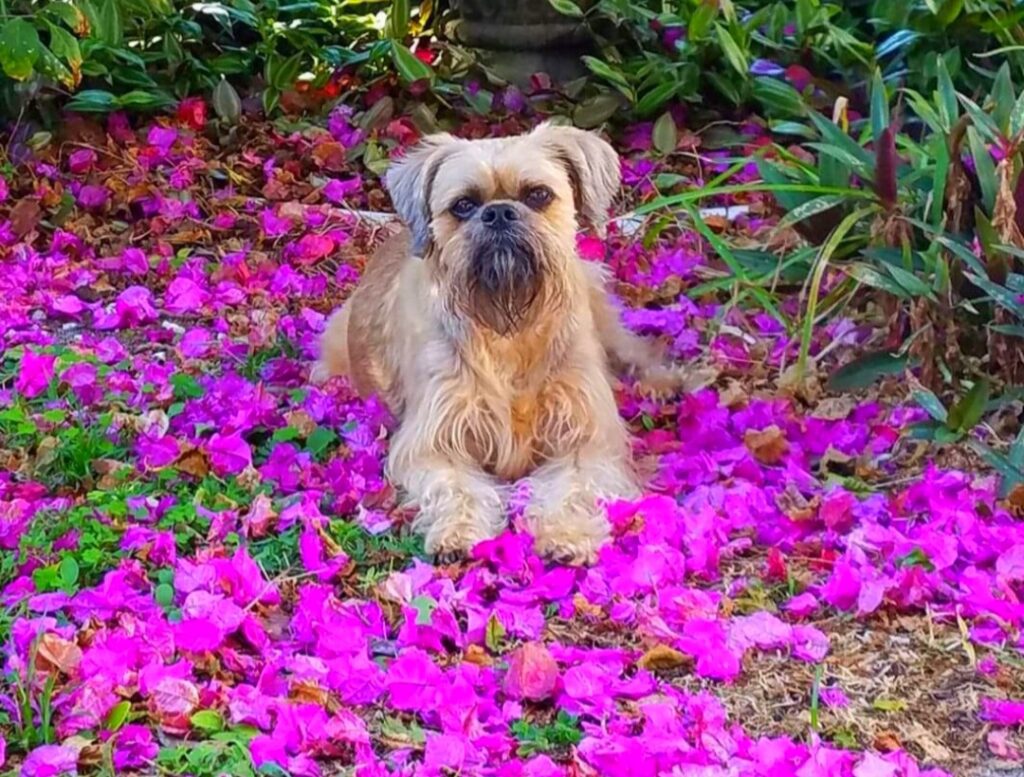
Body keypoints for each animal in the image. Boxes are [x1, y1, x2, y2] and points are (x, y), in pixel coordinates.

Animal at [311, 125, 679, 565]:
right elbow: (456, 487)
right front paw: (457, 530)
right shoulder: (434, 442)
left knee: (633, 350)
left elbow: (573, 488)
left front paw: (567, 532)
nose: (499, 212)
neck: (509, 331)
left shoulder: (586, 441)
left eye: (538, 195)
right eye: (464, 206)